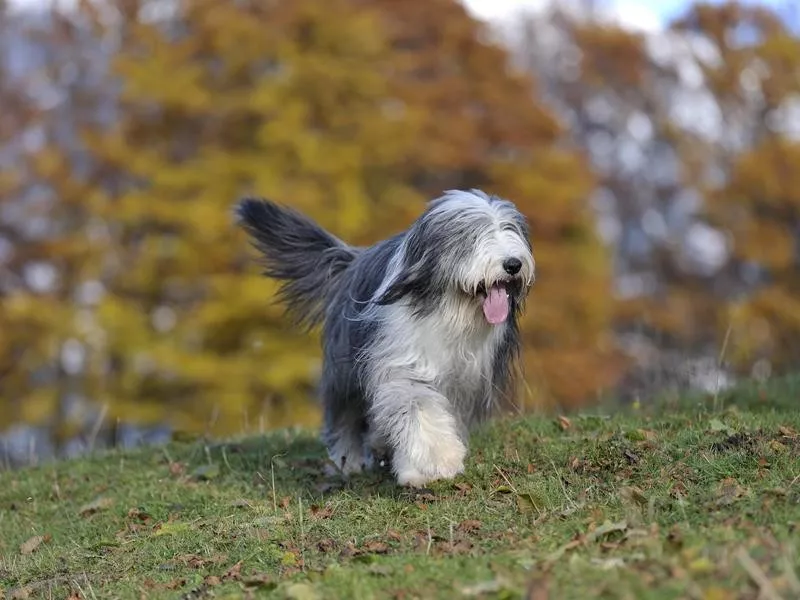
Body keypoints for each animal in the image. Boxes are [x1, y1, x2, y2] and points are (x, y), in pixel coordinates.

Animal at [238, 191, 536, 488]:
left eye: (510, 229)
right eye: (471, 236)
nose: (513, 264)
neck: (450, 313)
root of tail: (352, 259)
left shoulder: (467, 381)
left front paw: (415, 469)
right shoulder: (402, 362)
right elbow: (418, 407)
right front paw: (438, 459)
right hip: (345, 368)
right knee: (345, 414)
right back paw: (349, 460)